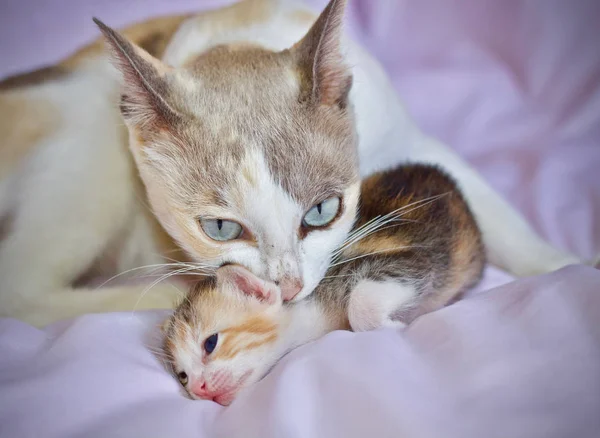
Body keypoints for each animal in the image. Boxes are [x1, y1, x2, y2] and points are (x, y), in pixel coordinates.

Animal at [0, 0, 580, 326]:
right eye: (220, 228)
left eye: (322, 211)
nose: (288, 287)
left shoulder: (410, 137)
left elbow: (496, 214)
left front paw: (567, 269)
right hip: (92, 124)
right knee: (19, 290)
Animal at [165, 165, 488, 408]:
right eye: (182, 375)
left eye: (210, 343)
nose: (199, 388)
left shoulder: (410, 260)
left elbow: (362, 303)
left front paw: (393, 327)